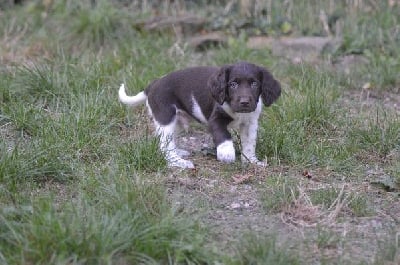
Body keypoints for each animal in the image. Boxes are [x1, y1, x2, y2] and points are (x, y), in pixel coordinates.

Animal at [119, 61, 282, 168]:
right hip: (166, 117)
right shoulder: (215, 119)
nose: (244, 102)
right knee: (165, 145)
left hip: (177, 121)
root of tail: (153, 84)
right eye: (232, 84)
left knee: (169, 141)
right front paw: (227, 153)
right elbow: (224, 135)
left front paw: (252, 161)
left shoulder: (250, 123)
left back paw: (179, 153)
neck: (238, 112)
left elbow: (249, 143)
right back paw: (178, 162)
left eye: (254, 84)